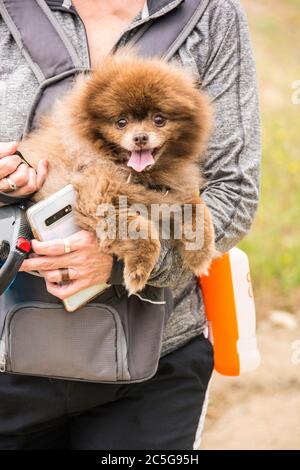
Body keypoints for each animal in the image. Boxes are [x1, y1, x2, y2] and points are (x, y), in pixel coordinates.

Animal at [18, 50, 216, 294]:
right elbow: (140, 230)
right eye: (121, 122)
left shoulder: (170, 191)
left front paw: (201, 251)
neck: (134, 173)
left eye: (159, 119)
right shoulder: (95, 197)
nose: (140, 137)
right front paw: (139, 268)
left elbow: (198, 207)